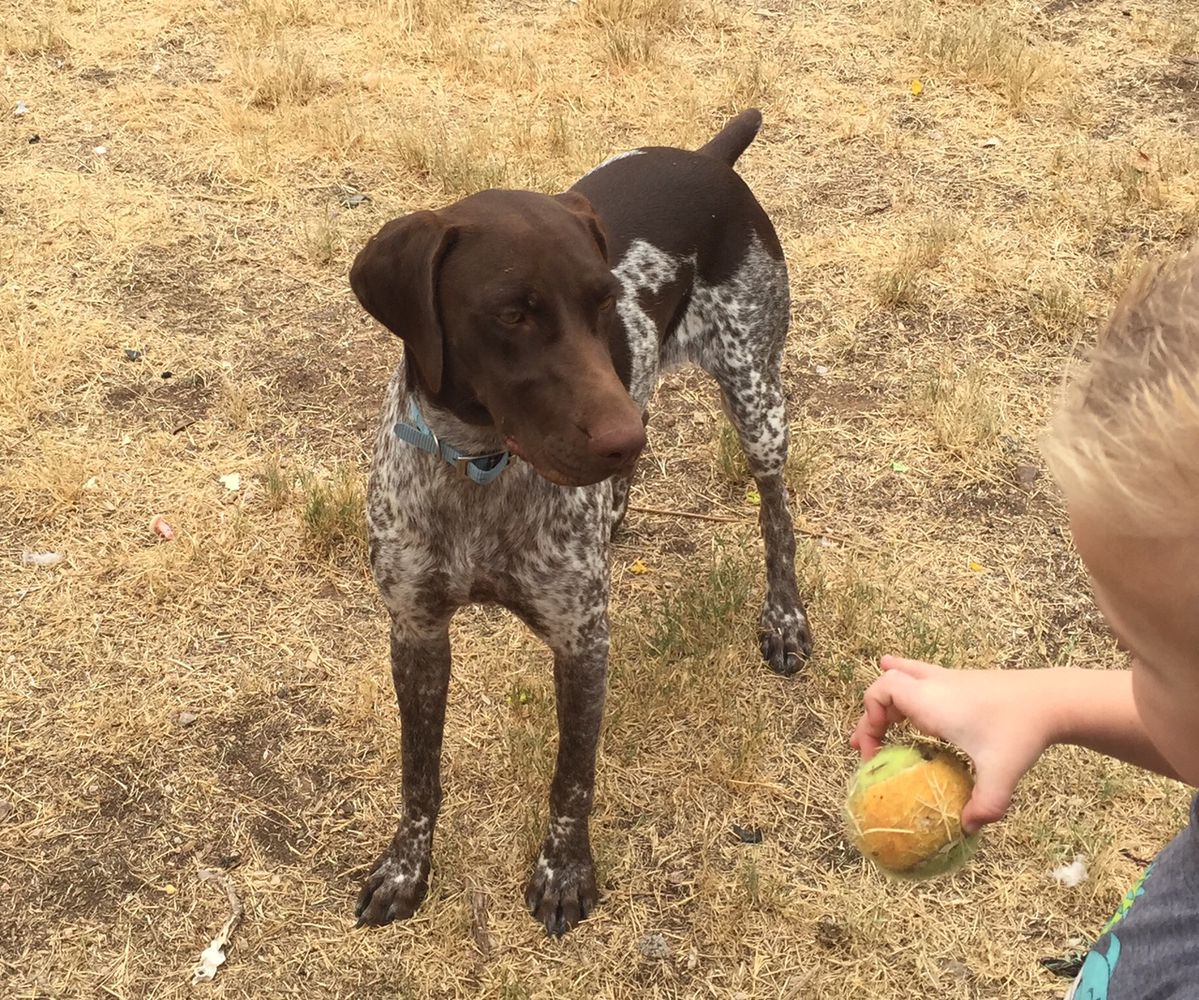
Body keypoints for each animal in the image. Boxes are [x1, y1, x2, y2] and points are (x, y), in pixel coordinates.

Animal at [350, 109, 810, 935]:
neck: (480, 468)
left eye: (603, 303)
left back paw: (783, 615)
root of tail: (707, 157)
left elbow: (572, 778)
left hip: (753, 394)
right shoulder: (415, 630)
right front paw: (405, 867)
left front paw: (565, 873)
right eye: (511, 313)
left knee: (777, 511)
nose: (623, 439)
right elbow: (418, 771)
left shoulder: (580, 640)